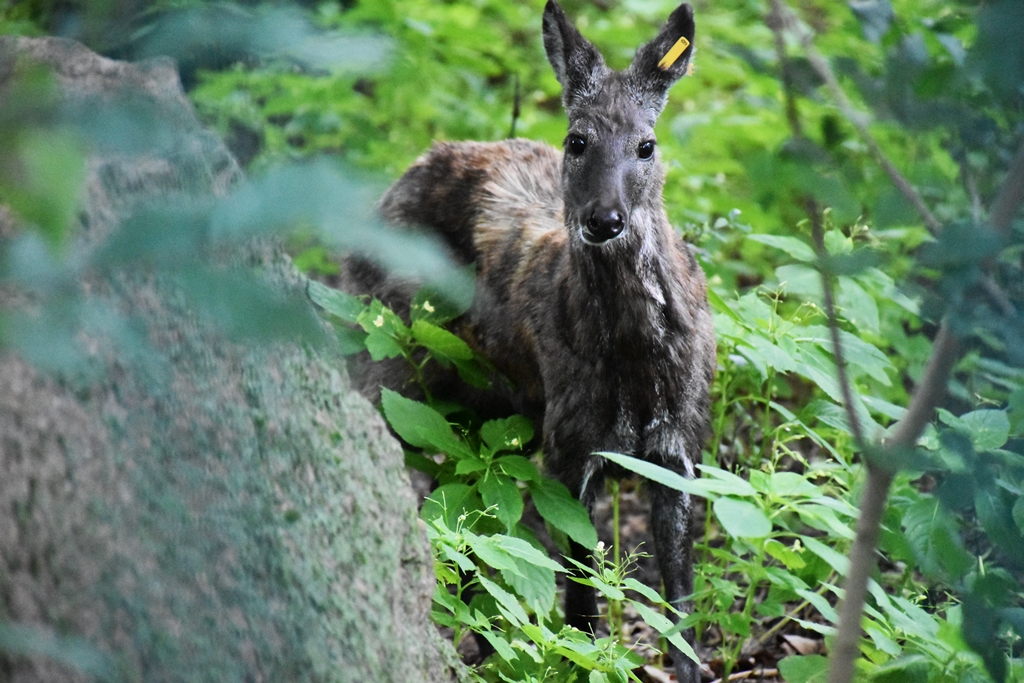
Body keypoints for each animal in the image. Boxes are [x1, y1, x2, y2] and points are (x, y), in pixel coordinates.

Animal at [342, 2, 715, 681]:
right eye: (577, 140)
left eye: (646, 145)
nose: (603, 220)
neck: (637, 365)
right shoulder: (571, 444)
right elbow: (581, 594)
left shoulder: (680, 448)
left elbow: (680, 599)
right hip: (385, 352)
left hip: (486, 405)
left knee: (467, 518)